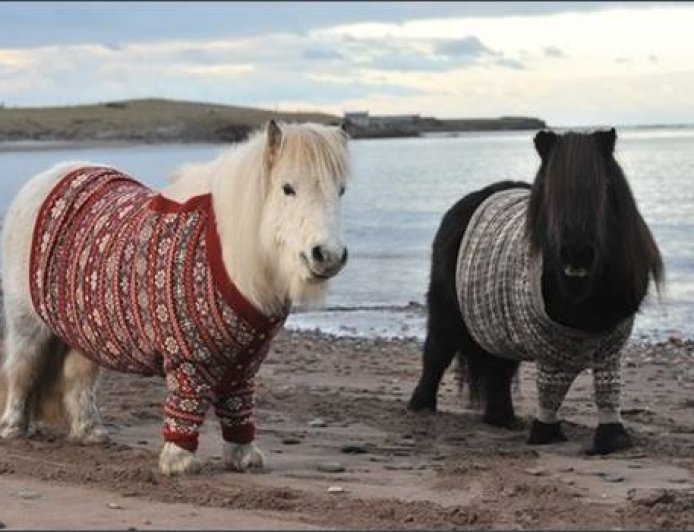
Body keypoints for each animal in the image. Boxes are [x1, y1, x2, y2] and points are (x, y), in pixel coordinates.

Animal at [0, 120, 350, 475]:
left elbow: (238, 405)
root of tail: (47, 178)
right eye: (287, 188)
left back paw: (90, 432)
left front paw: (244, 455)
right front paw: (179, 460)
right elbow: (186, 403)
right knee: (22, 369)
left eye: (341, 190)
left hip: (85, 330)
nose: (328, 255)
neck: (226, 253)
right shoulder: (188, 357)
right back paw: (13, 428)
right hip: (28, 323)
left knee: (78, 376)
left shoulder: (243, 362)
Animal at [408, 128, 663, 455]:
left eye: (605, 187)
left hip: (498, 327)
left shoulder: (610, 347)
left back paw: (501, 418)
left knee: (499, 368)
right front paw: (545, 432)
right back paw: (421, 406)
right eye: (552, 192)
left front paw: (612, 439)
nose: (577, 254)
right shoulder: (549, 353)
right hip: (446, 312)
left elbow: (608, 390)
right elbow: (550, 391)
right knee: (436, 353)